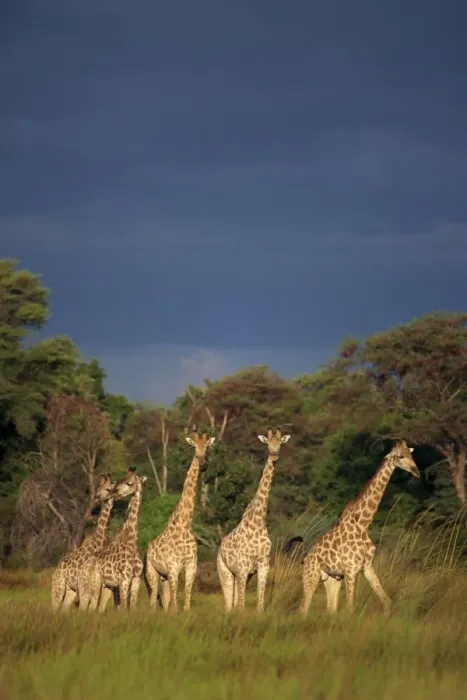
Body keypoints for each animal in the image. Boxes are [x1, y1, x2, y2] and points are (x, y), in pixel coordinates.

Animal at [51, 473, 116, 611]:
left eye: (108, 489)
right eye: (98, 488)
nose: (96, 498)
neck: (98, 543)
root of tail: (56, 569)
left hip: (70, 590)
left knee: (64, 608)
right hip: (58, 586)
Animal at [83, 468, 148, 612]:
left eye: (130, 483)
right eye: (122, 479)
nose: (115, 493)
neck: (132, 544)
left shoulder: (136, 580)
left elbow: (131, 608)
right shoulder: (123, 580)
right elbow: (122, 608)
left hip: (106, 586)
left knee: (98, 607)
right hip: (96, 582)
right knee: (91, 606)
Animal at [145, 430, 215, 613]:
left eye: (207, 446)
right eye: (194, 447)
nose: (203, 462)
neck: (185, 525)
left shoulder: (191, 566)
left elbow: (187, 593)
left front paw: (185, 611)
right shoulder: (173, 566)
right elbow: (175, 596)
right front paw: (174, 612)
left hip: (164, 575)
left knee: (164, 595)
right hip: (151, 571)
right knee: (153, 596)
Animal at [217, 428, 291, 614]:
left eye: (280, 443)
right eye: (268, 443)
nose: (274, 454)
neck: (258, 522)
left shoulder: (263, 565)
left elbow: (260, 600)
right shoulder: (243, 566)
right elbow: (242, 604)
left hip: (243, 574)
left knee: (234, 601)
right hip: (225, 571)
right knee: (229, 603)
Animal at [299, 439, 420, 616]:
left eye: (411, 454)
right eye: (400, 456)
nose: (416, 472)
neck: (363, 524)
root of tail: (305, 559)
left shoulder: (367, 566)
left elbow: (387, 601)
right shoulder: (351, 569)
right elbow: (351, 607)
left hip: (332, 579)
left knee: (331, 609)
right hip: (311, 577)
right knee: (304, 609)